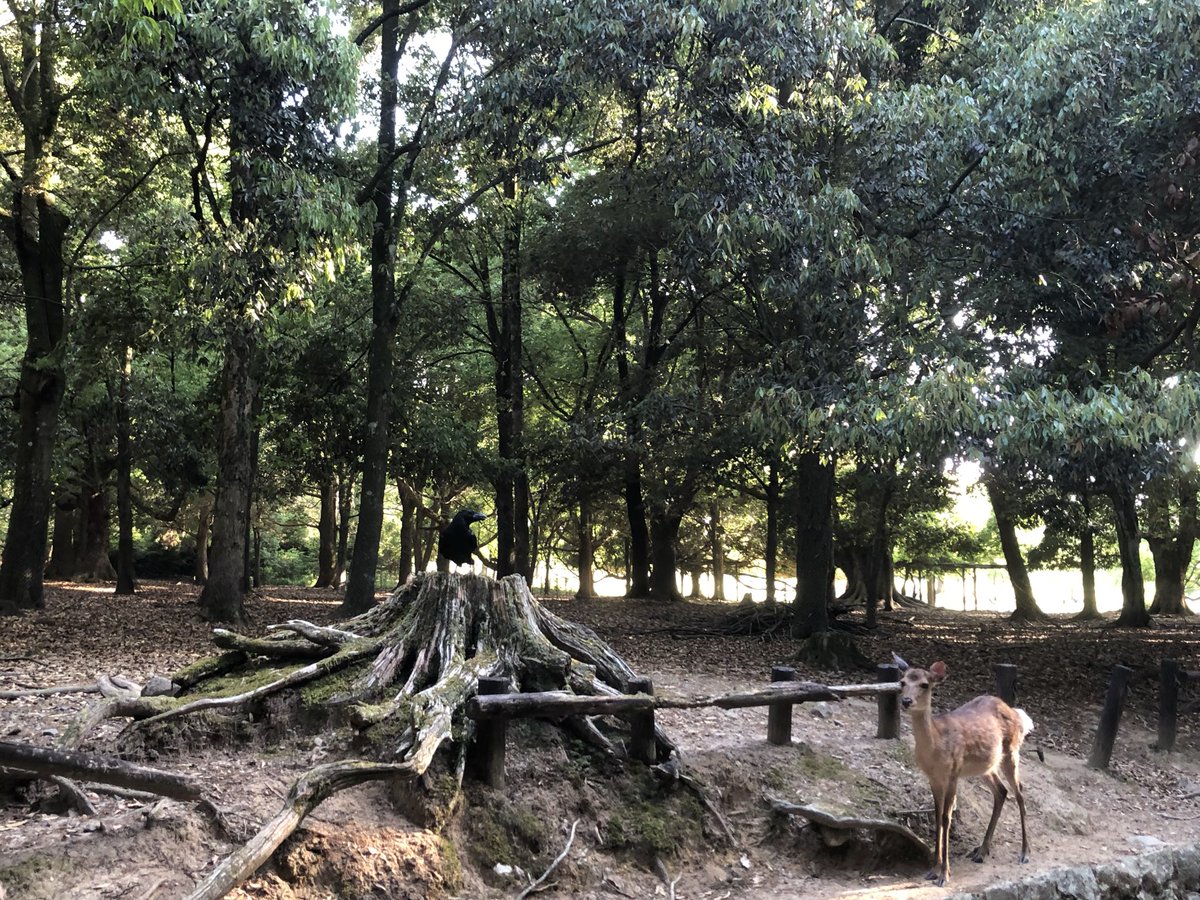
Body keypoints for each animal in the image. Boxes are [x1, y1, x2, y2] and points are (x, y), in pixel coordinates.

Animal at [893, 653, 1033, 887]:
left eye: (925, 684)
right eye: (902, 682)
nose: (906, 701)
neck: (936, 747)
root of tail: (1016, 712)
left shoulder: (953, 773)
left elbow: (947, 818)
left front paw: (944, 874)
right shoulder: (933, 777)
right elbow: (937, 816)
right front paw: (933, 869)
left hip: (1011, 750)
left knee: (1020, 792)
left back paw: (1024, 853)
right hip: (986, 765)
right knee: (1001, 791)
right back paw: (981, 851)